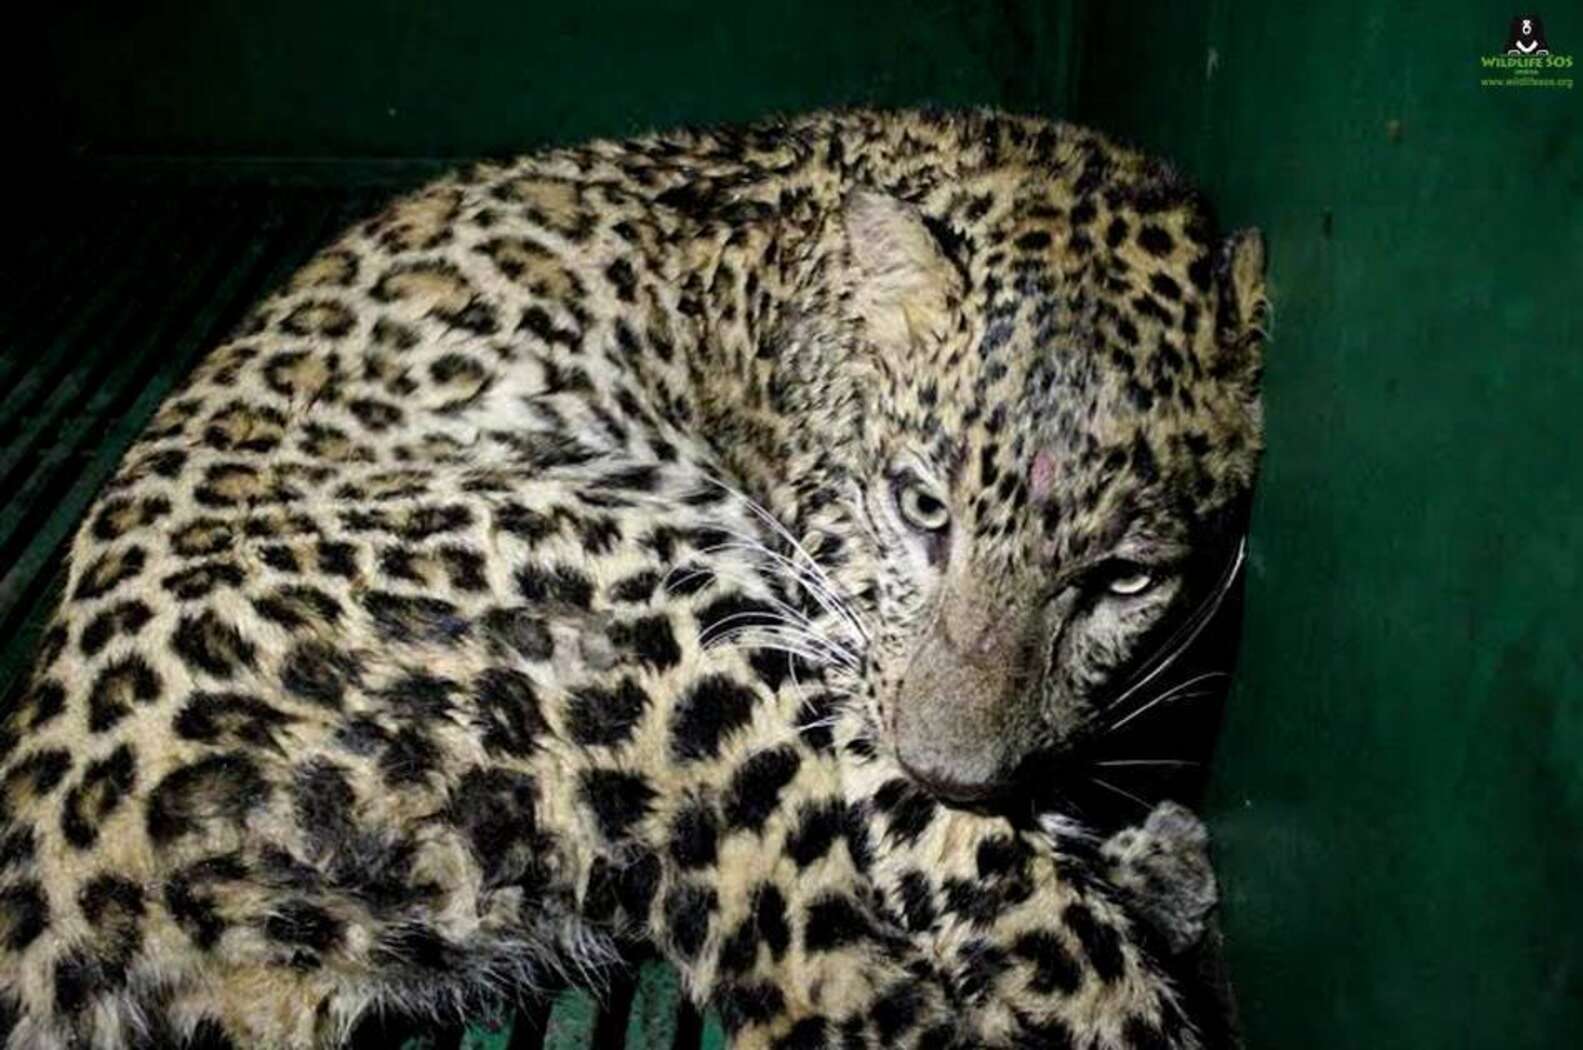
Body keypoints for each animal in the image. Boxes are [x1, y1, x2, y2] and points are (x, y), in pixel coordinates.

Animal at [0, 107, 1268, 1049]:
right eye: (922, 510)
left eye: (1124, 579)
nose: (950, 771)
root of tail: (58, 875)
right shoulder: (842, 650)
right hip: (678, 619)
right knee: (824, 986)